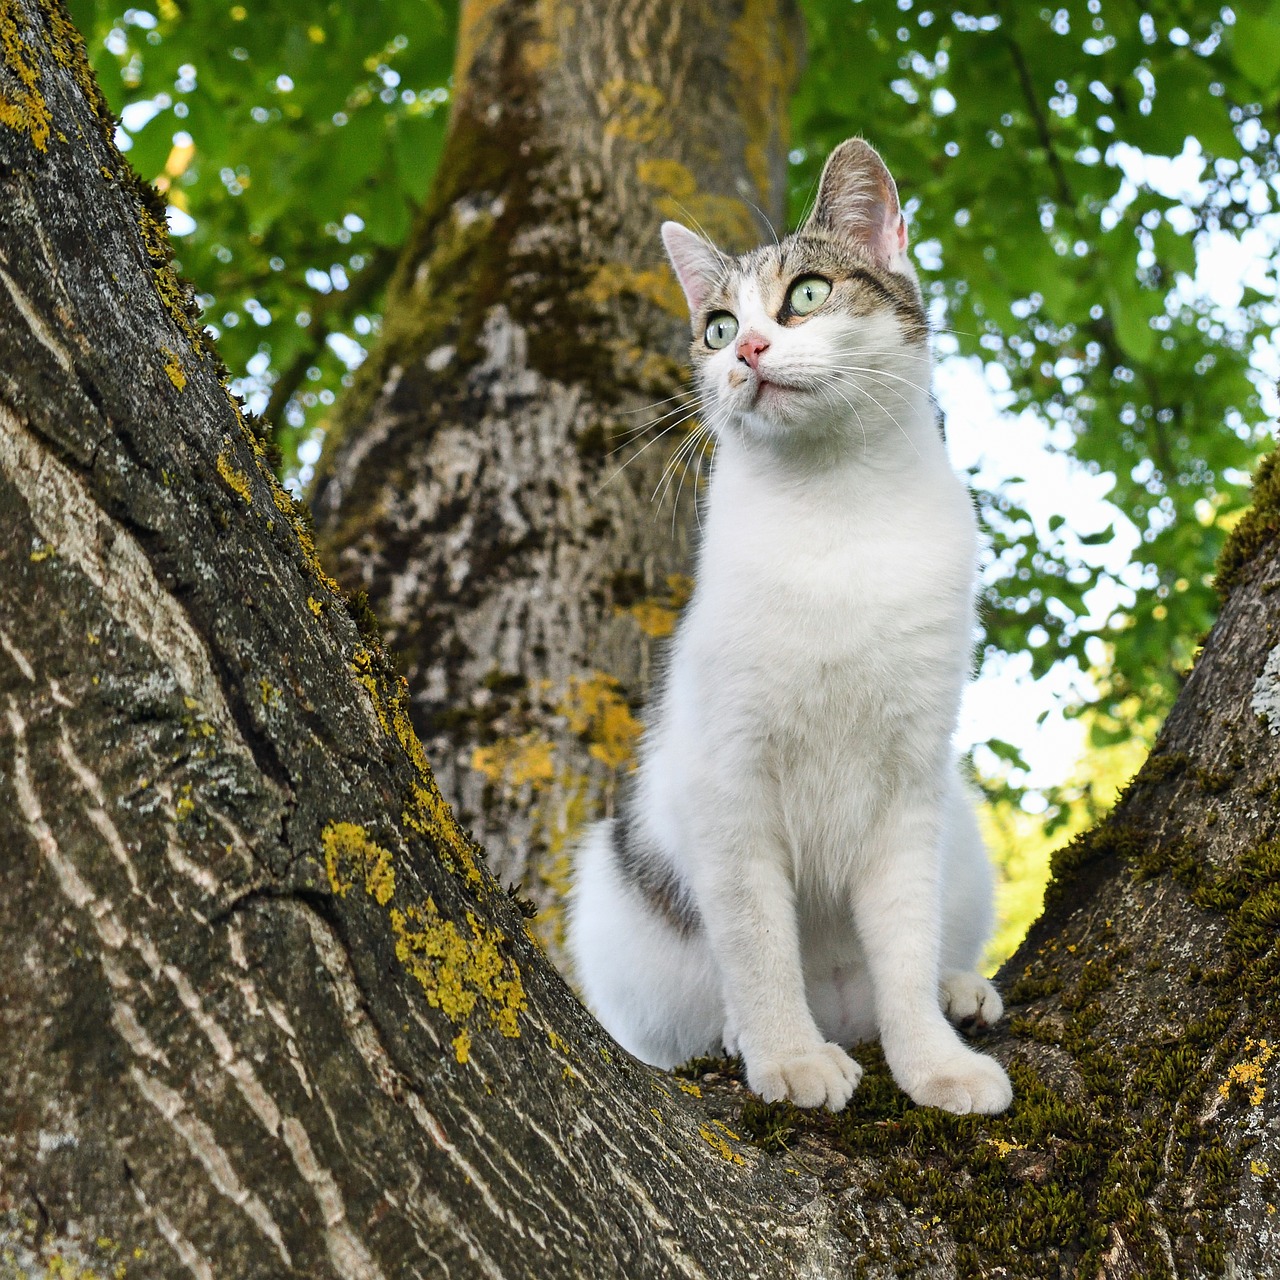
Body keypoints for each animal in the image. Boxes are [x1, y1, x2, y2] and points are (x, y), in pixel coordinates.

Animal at [568, 137, 1008, 1111]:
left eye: (805, 295)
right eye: (717, 327)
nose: (749, 348)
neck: (835, 511)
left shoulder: (910, 783)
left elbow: (905, 943)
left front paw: (935, 1064)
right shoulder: (729, 782)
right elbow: (758, 942)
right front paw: (788, 1056)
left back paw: (958, 990)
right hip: (610, 892)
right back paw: (747, 1036)